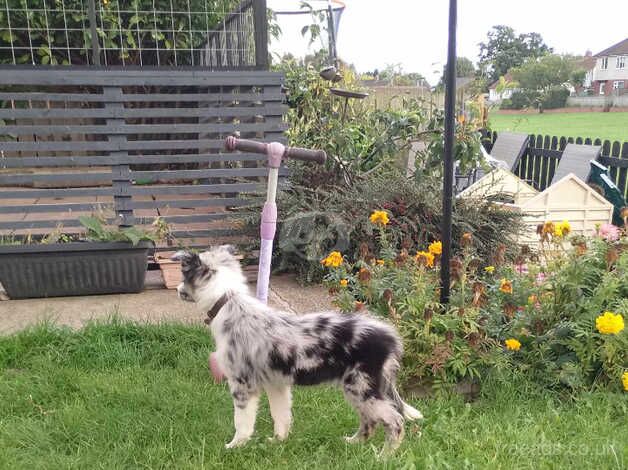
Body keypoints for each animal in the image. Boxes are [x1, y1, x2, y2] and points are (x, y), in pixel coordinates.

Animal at [172, 246, 422, 452]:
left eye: (184, 274)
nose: (177, 289)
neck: (227, 301)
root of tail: (390, 336)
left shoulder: (242, 383)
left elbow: (242, 421)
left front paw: (234, 446)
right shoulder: (276, 384)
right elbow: (281, 416)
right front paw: (277, 442)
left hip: (363, 387)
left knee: (395, 421)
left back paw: (384, 457)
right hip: (358, 389)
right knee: (369, 420)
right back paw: (353, 443)